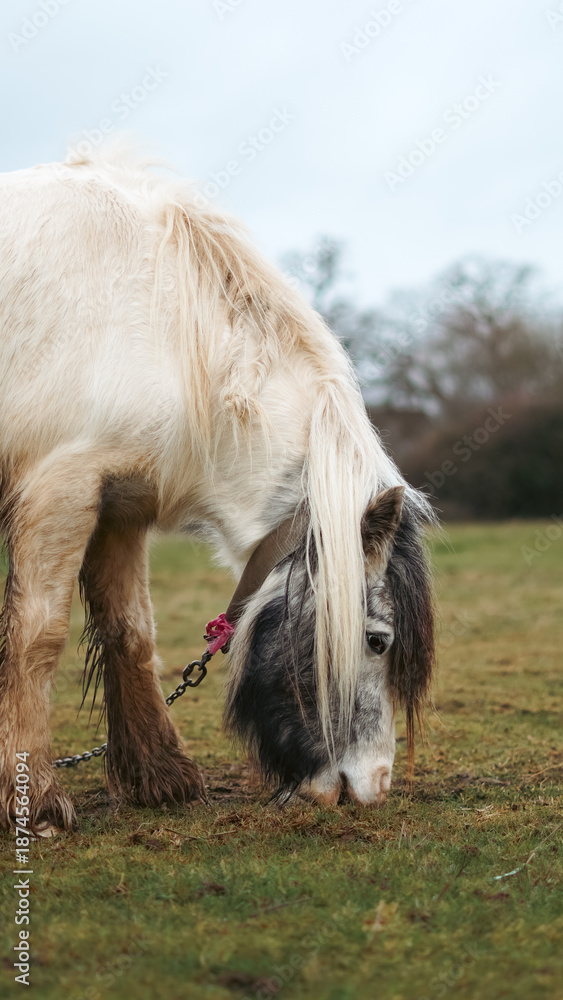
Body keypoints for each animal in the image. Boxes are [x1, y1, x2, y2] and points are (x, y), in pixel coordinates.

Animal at [0, 144, 435, 834]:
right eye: (376, 640)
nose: (374, 788)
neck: (162, 322)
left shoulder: (118, 502)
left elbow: (131, 630)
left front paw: (161, 778)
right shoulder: (59, 487)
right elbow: (37, 635)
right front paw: (36, 802)